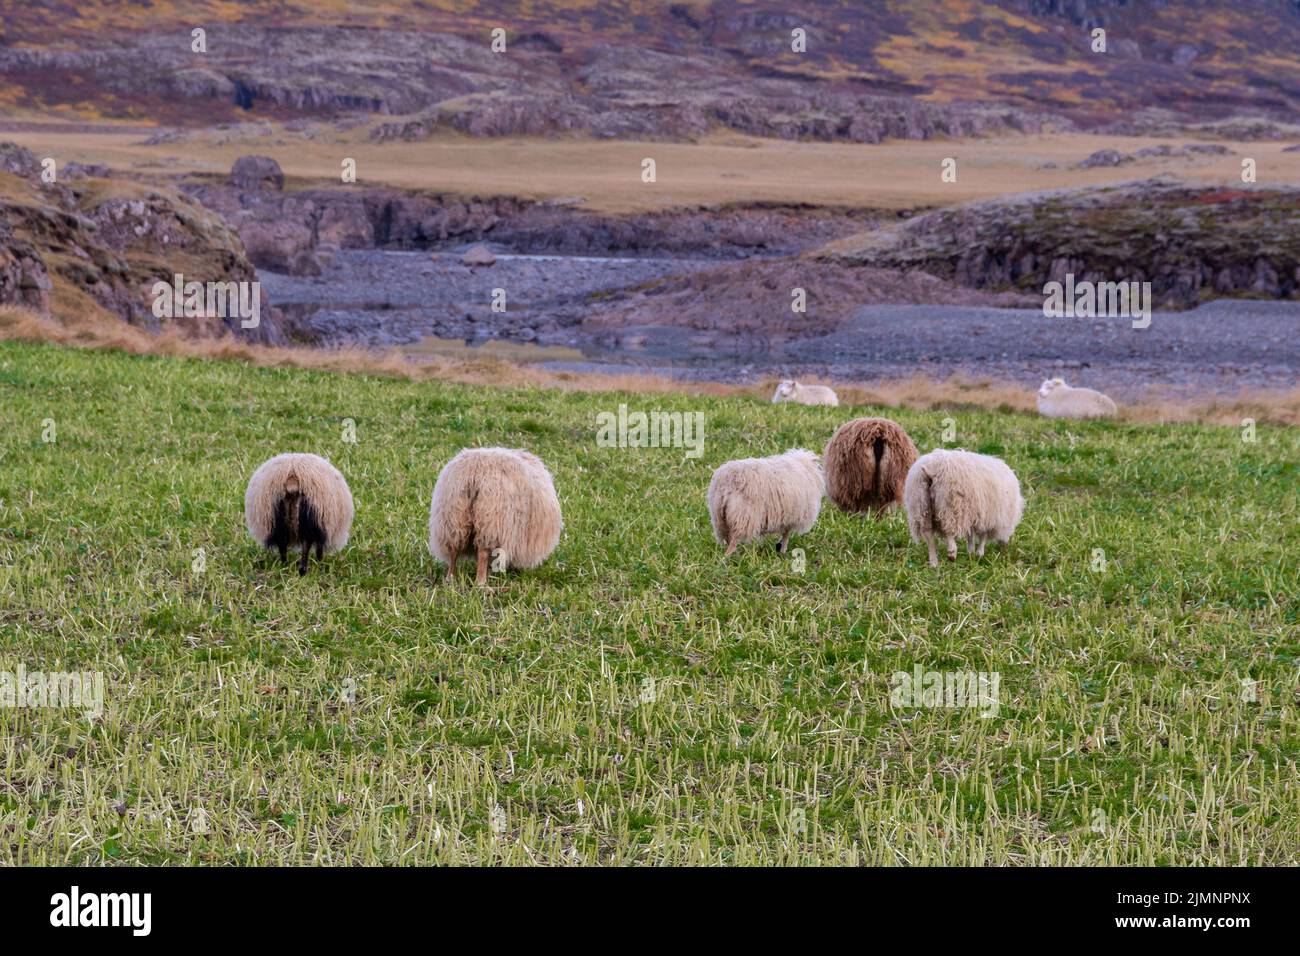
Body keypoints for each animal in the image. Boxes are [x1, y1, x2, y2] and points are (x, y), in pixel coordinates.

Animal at [428, 447, 561, 587]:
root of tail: (474, 473)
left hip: (453, 518)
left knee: (454, 549)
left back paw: (450, 579)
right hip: (490, 522)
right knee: (483, 552)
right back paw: (480, 582)